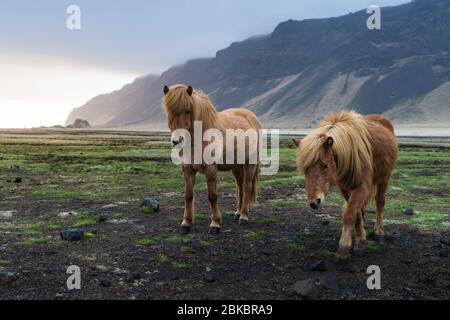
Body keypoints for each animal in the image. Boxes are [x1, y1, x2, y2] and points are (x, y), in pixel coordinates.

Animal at [163, 84, 260, 235]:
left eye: (188, 110)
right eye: (169, 111)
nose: (177, 141)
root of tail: (252, 117)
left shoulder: (210, 170)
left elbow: (212, 196)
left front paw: (215, 224)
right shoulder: (187, 169)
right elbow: (188, 195)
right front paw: (186, 223)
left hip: (251, 163)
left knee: (247, 186)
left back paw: (243, 216)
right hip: (237, 166)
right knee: (240, 186)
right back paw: (238, 212)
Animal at [296, 111, 398, 258]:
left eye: (325, 166)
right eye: (305, 169)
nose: (314, 202)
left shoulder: (362, 187)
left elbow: (350, 214)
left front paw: (344, 247)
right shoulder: (344, 188)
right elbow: (356, 213)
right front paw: (361, 239)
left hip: (384, 178)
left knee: (380, 202)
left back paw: (379, 229)